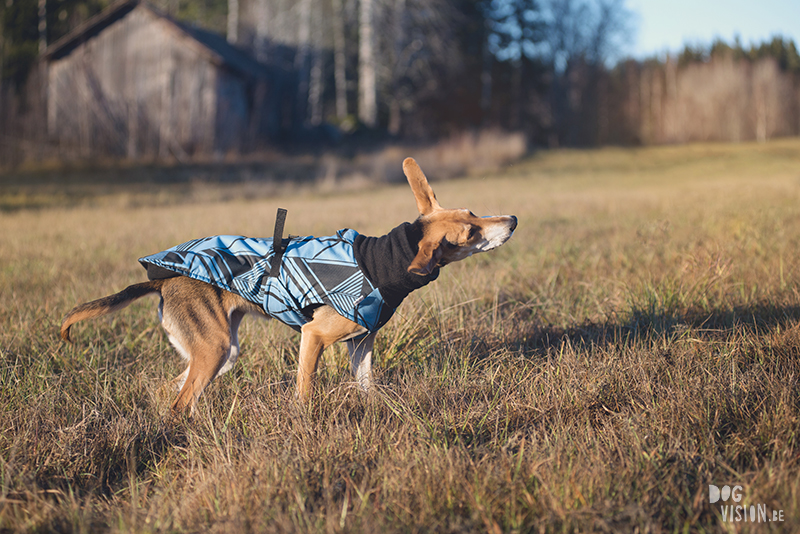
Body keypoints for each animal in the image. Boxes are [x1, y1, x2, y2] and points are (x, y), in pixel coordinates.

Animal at [57, 157, 520, 416]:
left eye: (473, 212)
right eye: (471, 233)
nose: (513, 220)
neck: (380, 261)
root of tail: (165, 280)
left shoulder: (361, 345)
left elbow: (368, 388)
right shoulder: (313, 337)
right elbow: (305, 393)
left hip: (219, 353)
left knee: (165, 392)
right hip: (214, 350)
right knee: (179, 404)